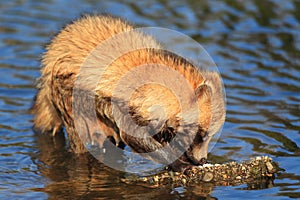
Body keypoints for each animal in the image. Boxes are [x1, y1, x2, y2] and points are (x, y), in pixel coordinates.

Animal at [32, 14, 225, 172]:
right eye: (201, 134)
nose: (202, 159)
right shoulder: (126, 106)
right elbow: (135, 137)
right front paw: (179, 163)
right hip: (68, 99)